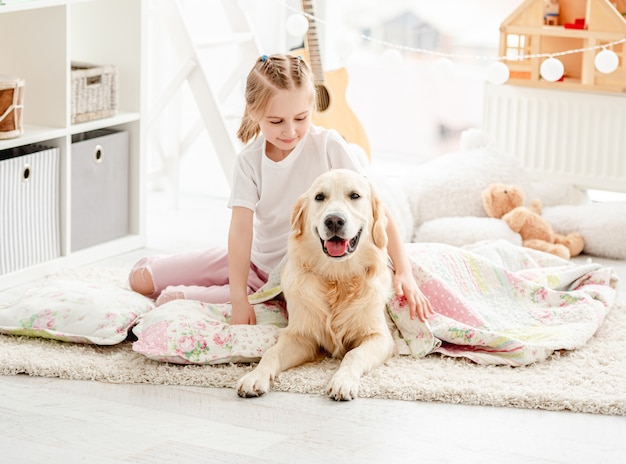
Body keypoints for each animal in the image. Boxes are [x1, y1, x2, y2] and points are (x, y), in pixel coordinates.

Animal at [236, 169, 392, 400]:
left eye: (354, 196)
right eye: (319, 197)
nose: (334, 220)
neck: (337, 279)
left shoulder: (380, 336)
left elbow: (354, 355)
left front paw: (342, 381)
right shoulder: (300, 336)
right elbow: (271, 353)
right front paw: (254, 377)